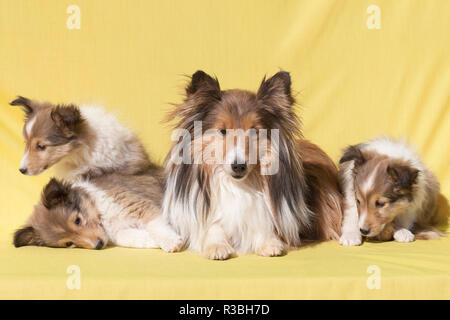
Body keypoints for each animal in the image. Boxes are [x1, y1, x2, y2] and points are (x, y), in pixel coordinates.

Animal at [14, 171, 183, 251]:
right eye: (69, 243)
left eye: (77, 220)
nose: (98, 245)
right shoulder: (117, 232)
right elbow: (128, 237)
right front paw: (153, 241)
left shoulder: (137, 205)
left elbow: (156, 225)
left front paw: (171, 242)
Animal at [162, 70, 342, 260]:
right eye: (222, 131)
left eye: (255, 132)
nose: (239, 166)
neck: (237, 185)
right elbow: (213, 226)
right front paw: (217, 246)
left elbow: (261, 222)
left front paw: (268, 243)